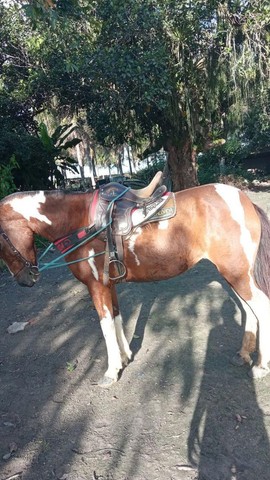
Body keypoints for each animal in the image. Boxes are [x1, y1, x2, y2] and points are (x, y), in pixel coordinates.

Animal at [0, 180, 270, 386]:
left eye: (1, 241)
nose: (25, 280)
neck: (79, 222)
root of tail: (245, 200)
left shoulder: (96, 286)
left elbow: (105, 325)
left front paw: (111, 371)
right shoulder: (109, 285)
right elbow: (117, 317)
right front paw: (125, 357)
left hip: (236, 274)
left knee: (261, 309)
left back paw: (260, 367)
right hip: (235, 274)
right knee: (248, 310)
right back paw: (243, 355)